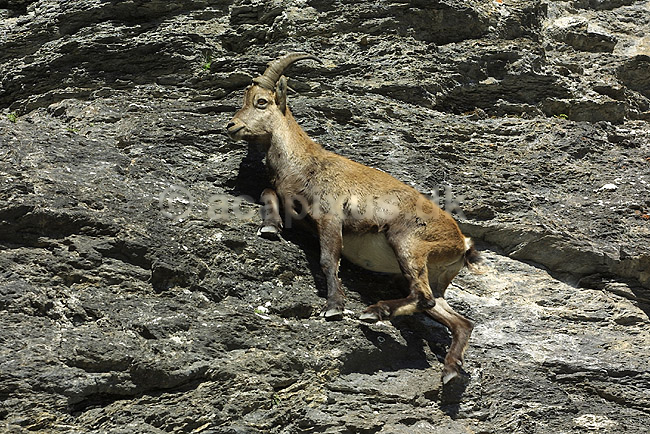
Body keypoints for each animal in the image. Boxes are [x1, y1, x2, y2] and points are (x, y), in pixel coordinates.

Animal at [226, 53, 481, 383]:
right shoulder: (294, 205)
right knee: (457, 319)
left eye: (261, 102)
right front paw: (270, 227)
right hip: (435, 275)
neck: (303, 162)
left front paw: (334, 306)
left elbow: (328, 259)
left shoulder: (330, 216)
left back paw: (374, 311)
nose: (231, 125)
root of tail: (462, 243)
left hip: (409, 243)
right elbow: (268, 192)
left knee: (423, 297)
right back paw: (450, 368)